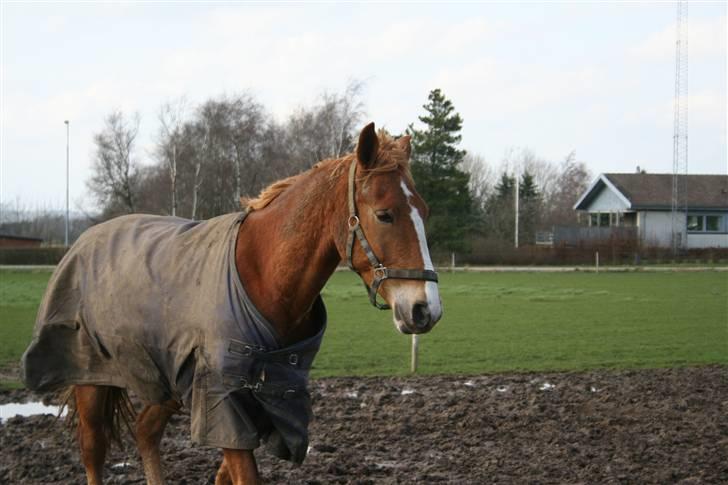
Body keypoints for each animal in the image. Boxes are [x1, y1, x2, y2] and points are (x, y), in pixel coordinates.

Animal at [21, 121, 444, 480]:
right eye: (385, 214)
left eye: (424, 210)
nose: (425, 310)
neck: (263, 274)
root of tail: (84, 240)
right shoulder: (225, 405)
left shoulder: (258, 406)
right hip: (91, 380)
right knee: (93, 451)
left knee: (145, 432)